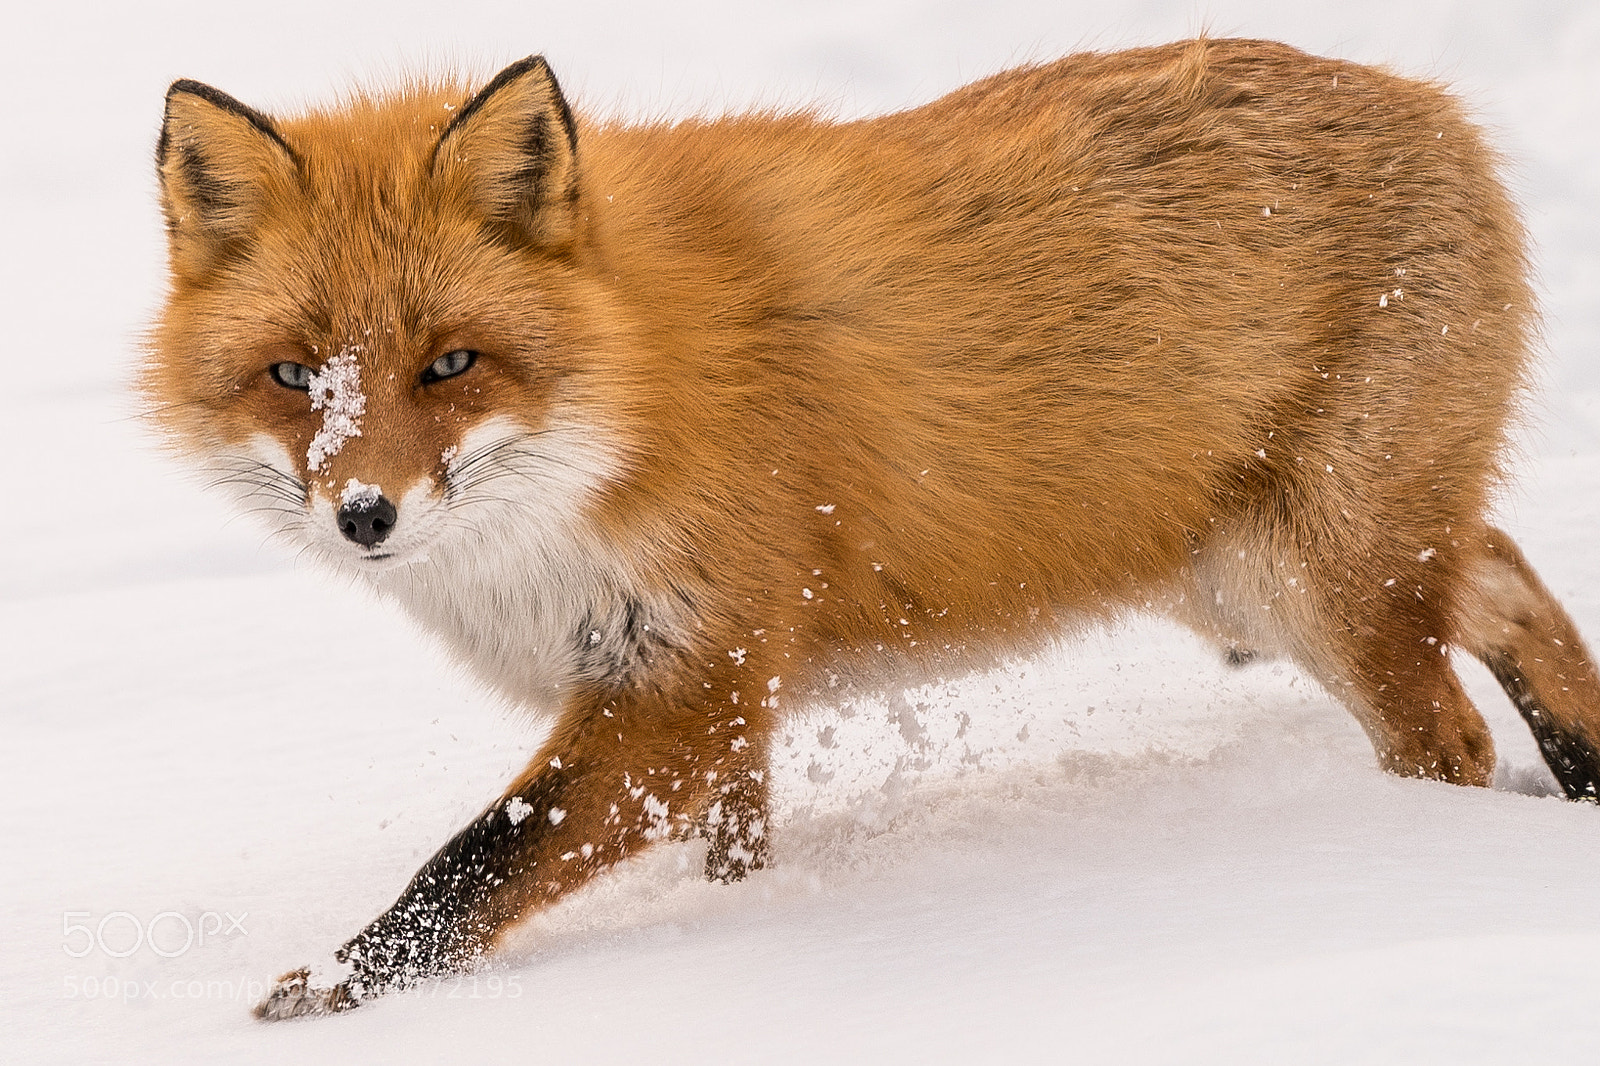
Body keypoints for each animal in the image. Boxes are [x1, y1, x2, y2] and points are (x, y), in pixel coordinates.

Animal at [143, 37, 1600, 1019]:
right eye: (294, 376)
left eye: (450, 364)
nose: (365, 514)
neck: (633, 388)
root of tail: (1434, 104)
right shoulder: (715, 695)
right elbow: (727, 856)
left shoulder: (685, 680)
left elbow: (478, 861)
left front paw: (335, 989)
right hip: (1236, 575)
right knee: (1505, 578)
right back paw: (1580, 775)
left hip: (1316, 578)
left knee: (1452, 732)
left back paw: (1407, 861)